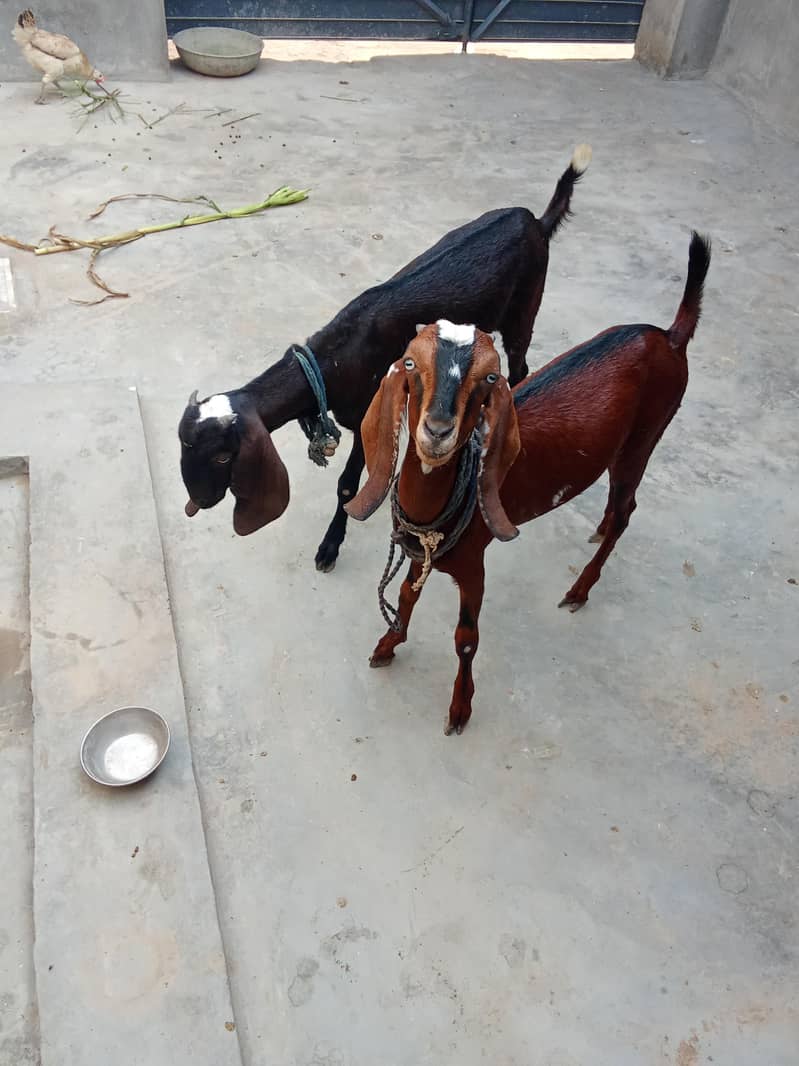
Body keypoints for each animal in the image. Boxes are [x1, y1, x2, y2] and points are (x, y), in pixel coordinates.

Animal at [179, 145, 592, 571]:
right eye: (184, 447)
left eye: (224, 457)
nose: (199, 502)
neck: (335, 360)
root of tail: (536, 222)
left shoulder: (366, 409)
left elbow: (347, 486)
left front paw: (330, 546)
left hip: (524, 309)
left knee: (521, 364)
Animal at [345, 232, 711, 736]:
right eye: (411, 365)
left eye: (489, 378)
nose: (437, 431)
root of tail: (670, 339)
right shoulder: (420, 552)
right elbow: (405, 594)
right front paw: (386, 645)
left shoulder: (474, 561)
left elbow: (465, 638)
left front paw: (460, 709)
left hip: (645, 437)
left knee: (626, 510)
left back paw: (579, 590)